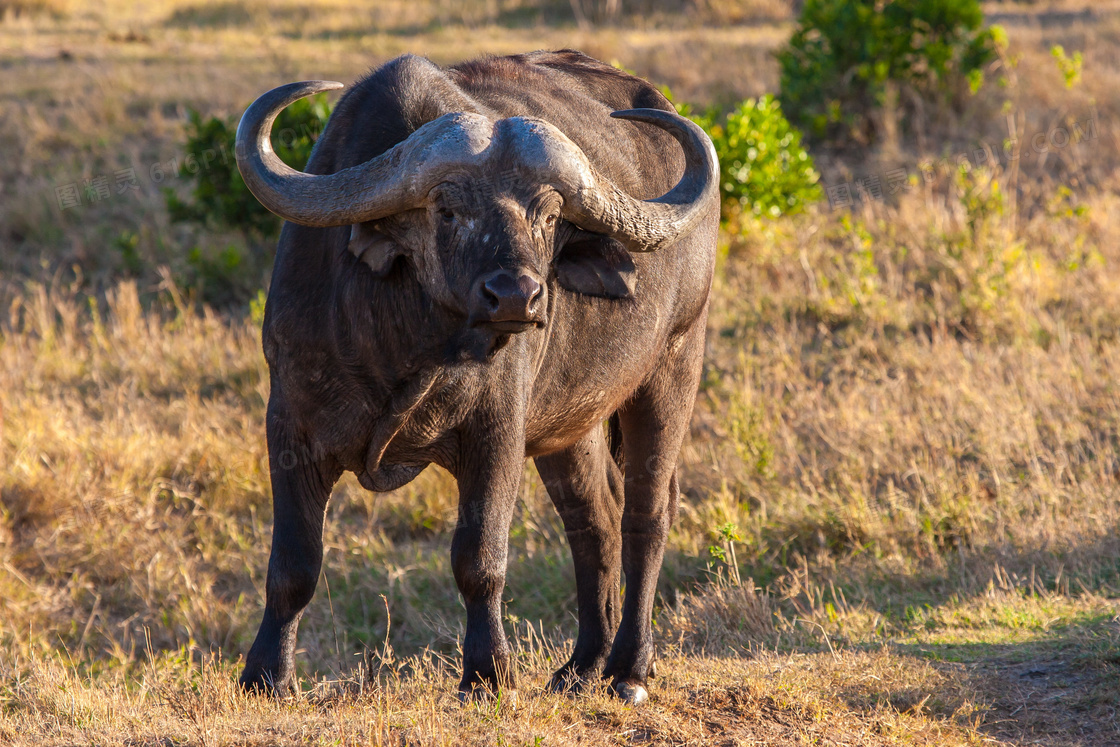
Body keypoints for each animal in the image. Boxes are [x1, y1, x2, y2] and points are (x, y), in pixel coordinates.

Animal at [235, 49, 716, 703]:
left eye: (549, 214)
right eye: (447, 209)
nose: (516, 296)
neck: (405, 341)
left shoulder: (496, 432)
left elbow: (480, 558)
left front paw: (489, 674)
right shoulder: (290, 423)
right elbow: (293, 564)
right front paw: (265, 675)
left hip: (672, 369)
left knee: (646, 512)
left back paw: (629, 670)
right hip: (570, 424)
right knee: (593, 518)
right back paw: (580, 667)